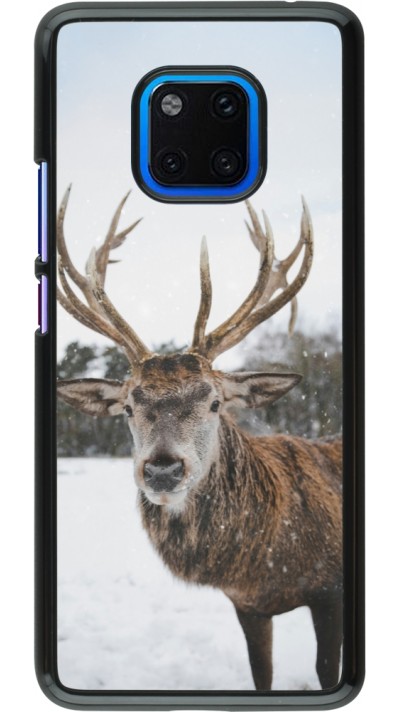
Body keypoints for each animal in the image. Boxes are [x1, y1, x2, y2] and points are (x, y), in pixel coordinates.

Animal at [57, 188, 342, 691]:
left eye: (214, 402)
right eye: (128, 407)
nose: (162, 469)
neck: (266, 564)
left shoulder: (331, 590)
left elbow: (328, 670)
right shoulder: (247, 605)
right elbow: (261, 674)